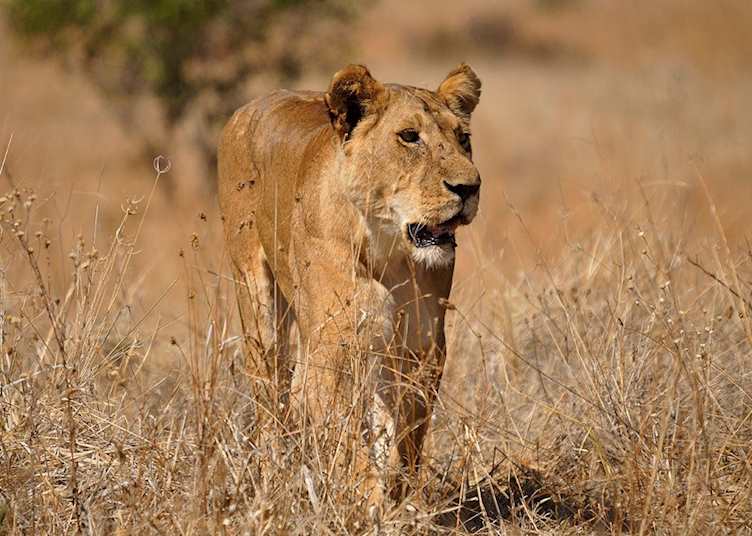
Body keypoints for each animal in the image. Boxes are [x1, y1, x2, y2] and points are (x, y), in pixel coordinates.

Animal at [217, 63, 481, 509]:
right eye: (409, 136)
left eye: (463, 138)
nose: (469, 188)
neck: (388, 250)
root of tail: (248, 106)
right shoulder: (332, 348)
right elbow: (348, 440)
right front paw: (367, 501)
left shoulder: (423, 348)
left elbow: (406, 433)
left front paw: (400, 499)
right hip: (258, 306)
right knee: (272, 399)